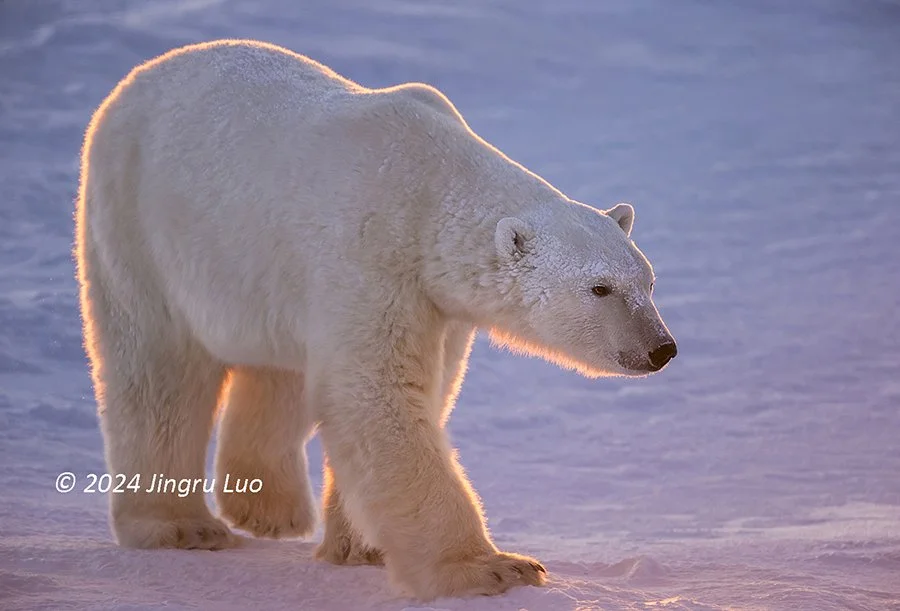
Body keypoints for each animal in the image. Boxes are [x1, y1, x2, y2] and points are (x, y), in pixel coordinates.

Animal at [75, 39, 676, 600]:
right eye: (600, 288)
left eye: (648, 282)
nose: (660, 349)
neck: (428, 187)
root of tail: (138, 78)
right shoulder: (369, 257)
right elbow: (377, 393)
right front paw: (493, 568)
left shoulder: (438, 302)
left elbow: (415, 390)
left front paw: (359, 545)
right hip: (137, 228)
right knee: (159, 375)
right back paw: (181, 527)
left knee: (279, 374)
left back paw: (270, 510)